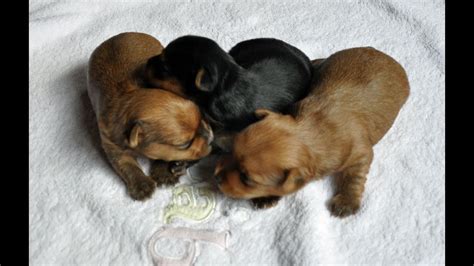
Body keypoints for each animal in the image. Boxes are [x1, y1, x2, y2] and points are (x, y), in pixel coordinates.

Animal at [88, 32, 213, 201]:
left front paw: (163, 173)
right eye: (184, 144)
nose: (211, 136)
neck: (126, 98)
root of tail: (114, 37)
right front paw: (142, 185)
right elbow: (126, 164)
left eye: (201, 116)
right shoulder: (111, 145)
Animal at [215, 46, 412, 215]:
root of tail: (381, 52)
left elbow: (354, 177)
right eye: (232, 151)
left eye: (246, 178)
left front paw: (346, 202)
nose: (216, 177)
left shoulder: (361, 153)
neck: (312, 130)